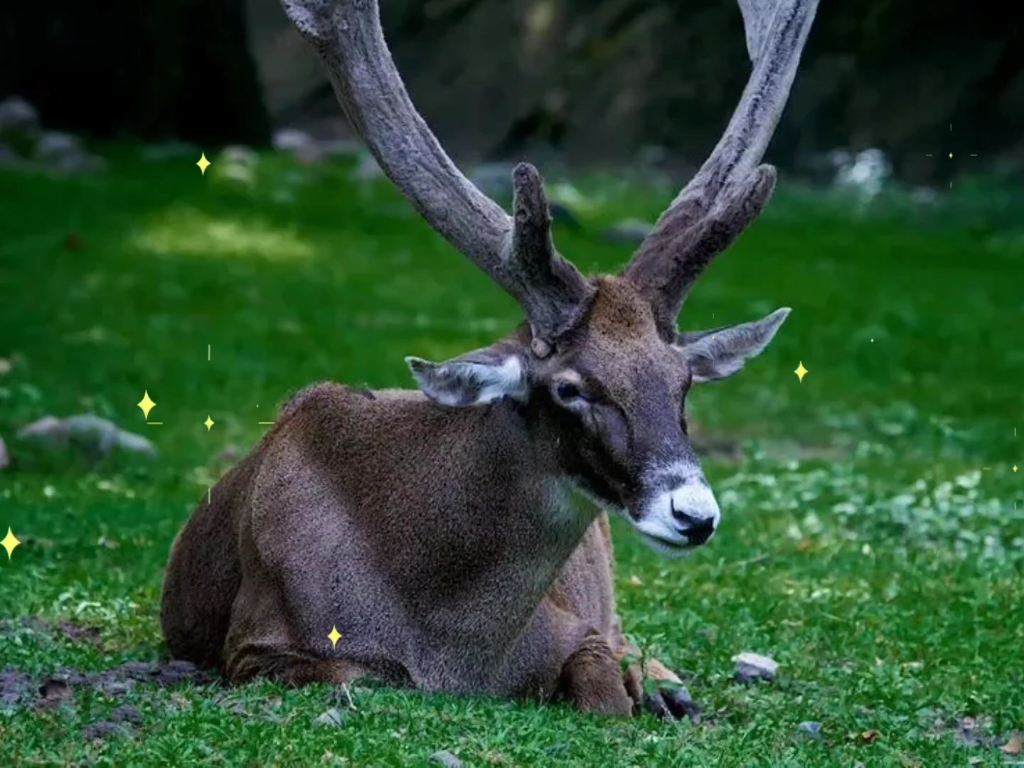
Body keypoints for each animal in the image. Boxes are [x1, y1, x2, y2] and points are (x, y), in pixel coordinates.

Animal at [159, 0, 815, 720]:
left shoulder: (574, 626)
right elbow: (352, 676)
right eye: (569, 388)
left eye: (684, 383)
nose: (694, 515)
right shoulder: (255, 644)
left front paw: (643, 690)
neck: (452, 649)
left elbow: (602, 684)